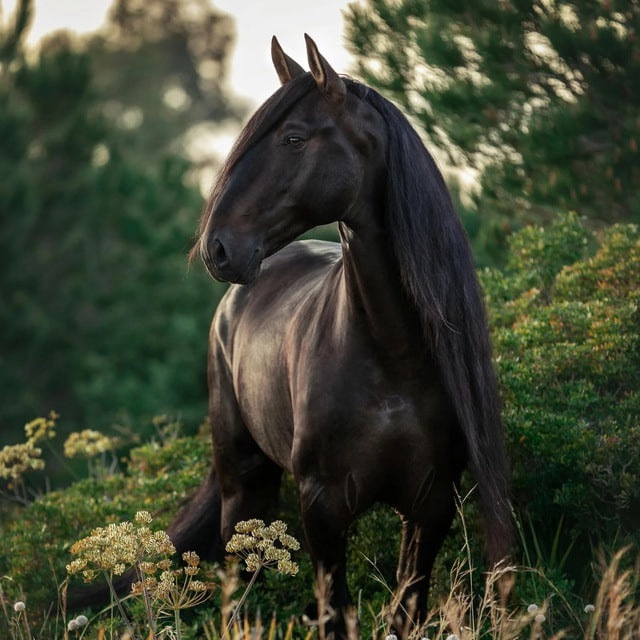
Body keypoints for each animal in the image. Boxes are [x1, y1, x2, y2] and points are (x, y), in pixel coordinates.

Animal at [168, 34, 511, 637]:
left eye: (294, 138)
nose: (218, 248)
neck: (393, 356)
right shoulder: (323, 507)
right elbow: (334, 613)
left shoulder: (431, 505)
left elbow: (406, 608)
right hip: (243, 483)